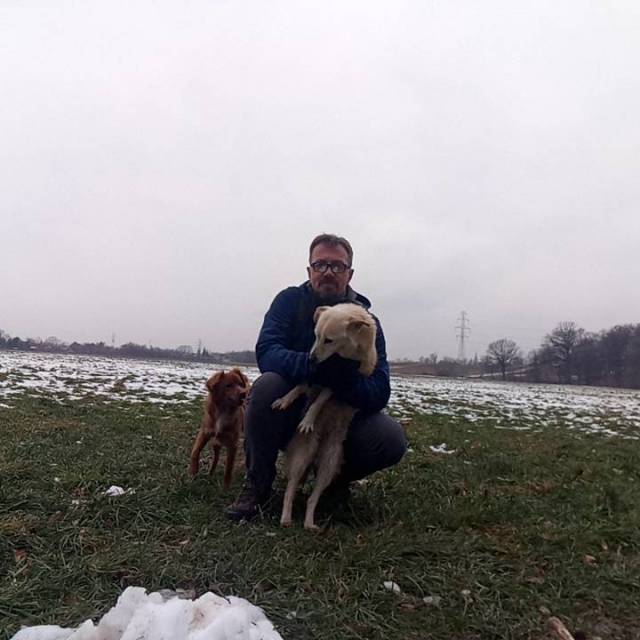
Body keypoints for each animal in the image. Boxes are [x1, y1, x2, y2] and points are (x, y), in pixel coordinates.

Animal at [271, 303, 377, 530]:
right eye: (316, 335)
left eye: (329, 340)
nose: (311, 359)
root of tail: (317, 450)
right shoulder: (317, 374)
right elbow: (302, 384)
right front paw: (285, 399)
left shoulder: (339, 381)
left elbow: (320, 401)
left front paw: (308, 419)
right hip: (302, 457)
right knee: (290, 490)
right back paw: (287, 518)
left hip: (329, 465)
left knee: (313, 497)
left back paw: (308, 523)